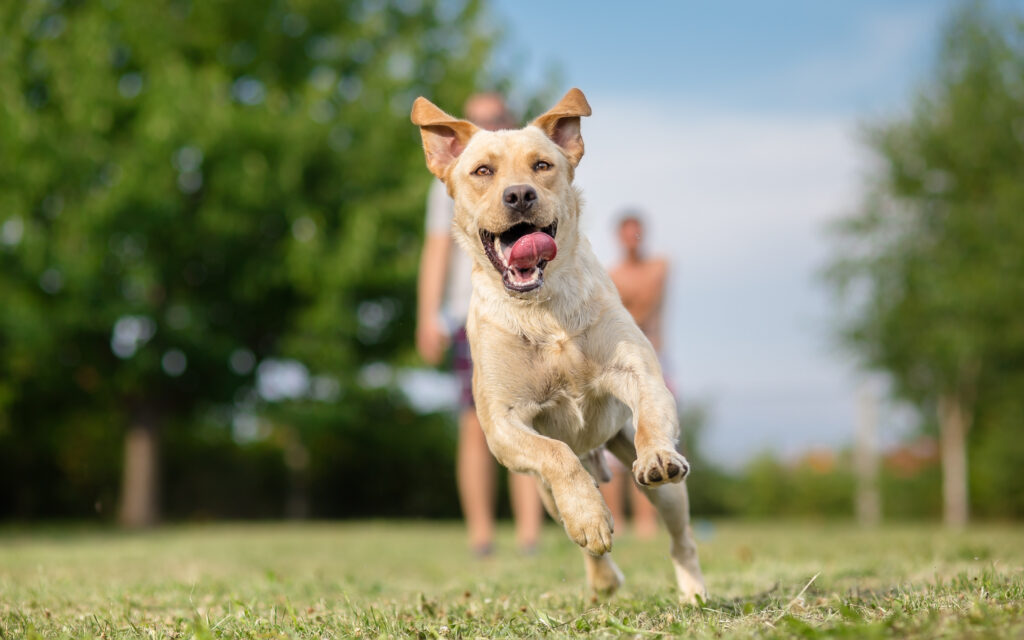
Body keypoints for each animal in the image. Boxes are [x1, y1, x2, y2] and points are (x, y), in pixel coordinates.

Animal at [407, 86, 704, 598]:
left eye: (542, 165)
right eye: (482, 171)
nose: (520, 194)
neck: (542, 310)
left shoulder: (638, 373)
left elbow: (649, 418)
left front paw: (656, 454)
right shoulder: (502, 424)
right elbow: (555, 455)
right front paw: (589, 517)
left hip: (665, 492)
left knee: (679, 537)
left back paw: (693, 591)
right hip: (544, 493)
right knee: (575, 513)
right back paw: (602, 575)